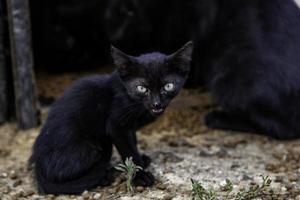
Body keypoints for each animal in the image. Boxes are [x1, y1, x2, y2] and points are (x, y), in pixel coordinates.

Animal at [29, 41, 193, 195]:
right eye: (142, 88)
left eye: (168, 86)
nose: (156, 104)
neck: (130, 98)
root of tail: (38, 168)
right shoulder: (116, 127)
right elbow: (129, 151)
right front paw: (140, 175)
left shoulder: (129, 128)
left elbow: (133, 142)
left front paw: (140, 162)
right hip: (95, 146)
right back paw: (104, 177)